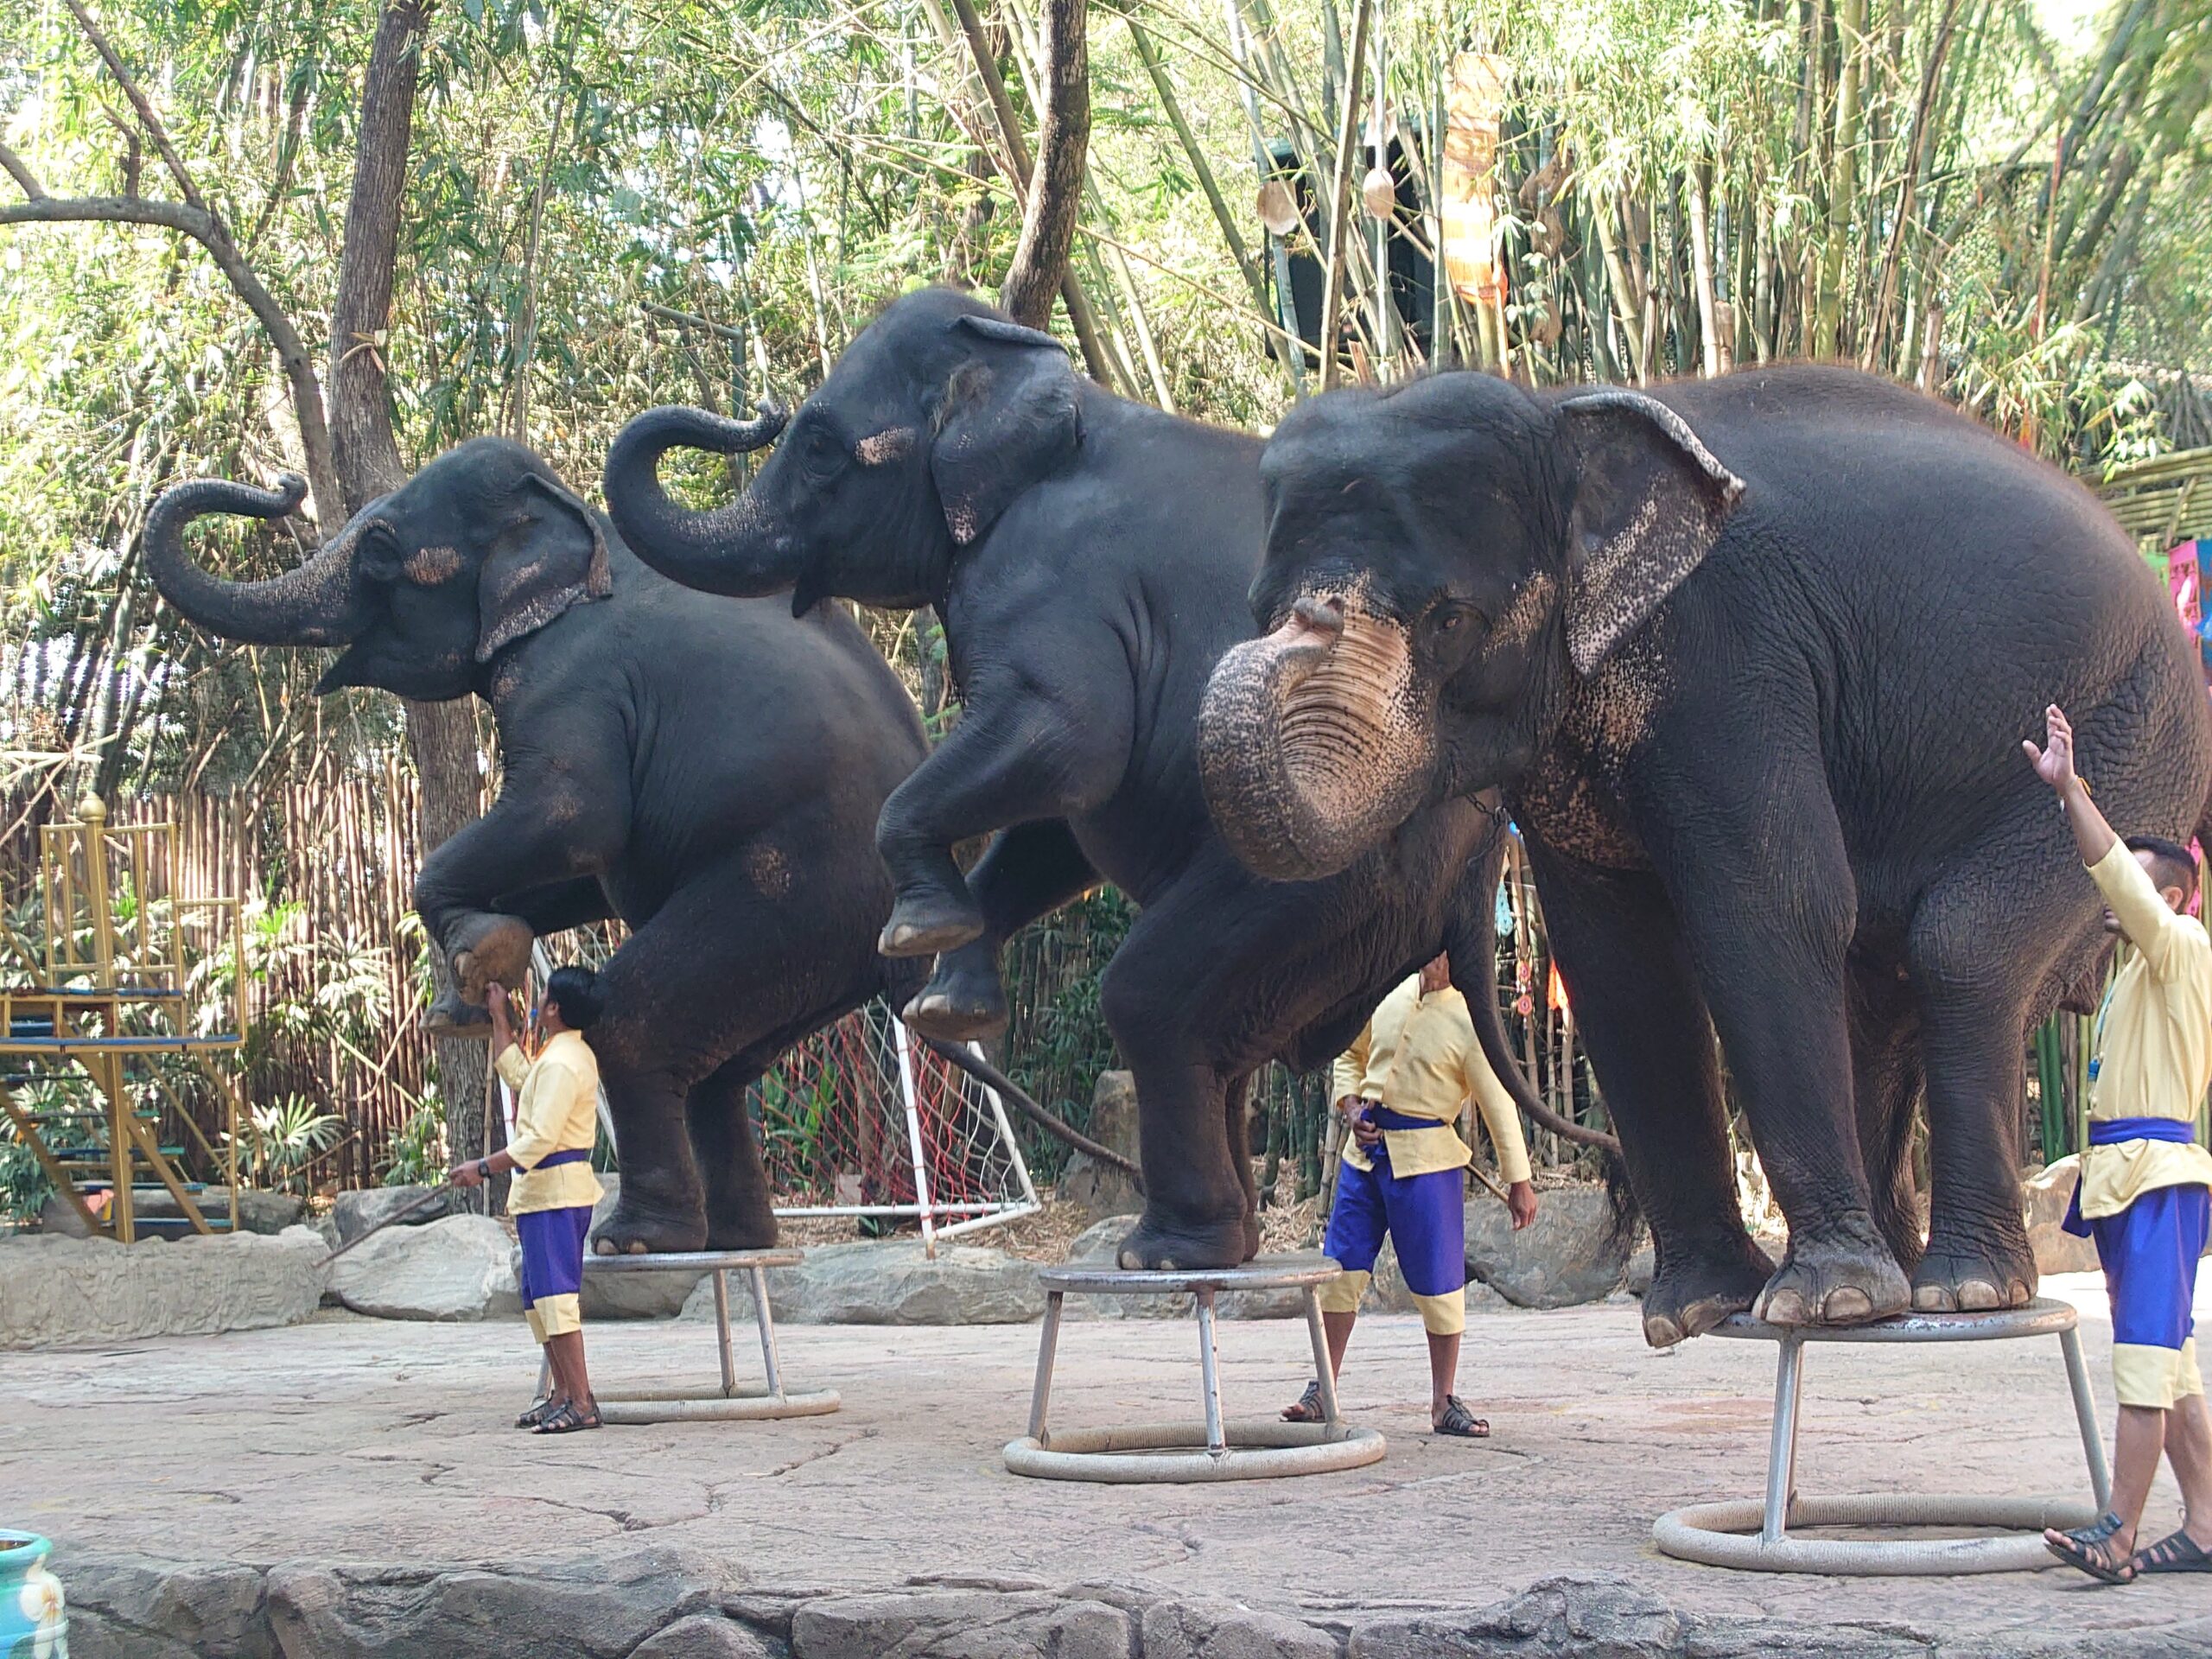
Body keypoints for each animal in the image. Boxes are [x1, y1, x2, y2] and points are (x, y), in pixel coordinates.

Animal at [151, 435, 990, 1256]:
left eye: (383, 551)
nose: (286, 486)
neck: (577, 522)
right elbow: (586, 870)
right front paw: (470, 990)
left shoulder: (569, 672)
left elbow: (576, 813)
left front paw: (479, 955)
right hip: (820, 954)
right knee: (721, 1070)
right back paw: (733, 1240)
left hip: (792, 895)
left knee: (632, 1021)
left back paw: (635, 1241)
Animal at [606, 285, 1610, 1274]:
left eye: (817, 445)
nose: (762, 411)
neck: (1048, 389)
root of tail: (1482, 853)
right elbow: (1056, 822)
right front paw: (951, 1001)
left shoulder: (1051, 581)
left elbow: (1070, 738)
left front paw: (914, 931)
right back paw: (1228, 1244)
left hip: (1334, 869)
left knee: (1149, 994)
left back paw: (1166, 1251)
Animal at [1203, 366, 2212, 1353]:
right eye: (1257, 608)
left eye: (1451, 619)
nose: (1300, 624)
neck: (1554, 408)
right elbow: (1618, 962)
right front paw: (1696, 1313)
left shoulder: (1729, 656)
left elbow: (1773, 905)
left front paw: (1823, 1304)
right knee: (1882, 995)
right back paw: (1904, 1286)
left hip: (2137, 737)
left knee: (1961, 949)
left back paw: (1963, 1290)